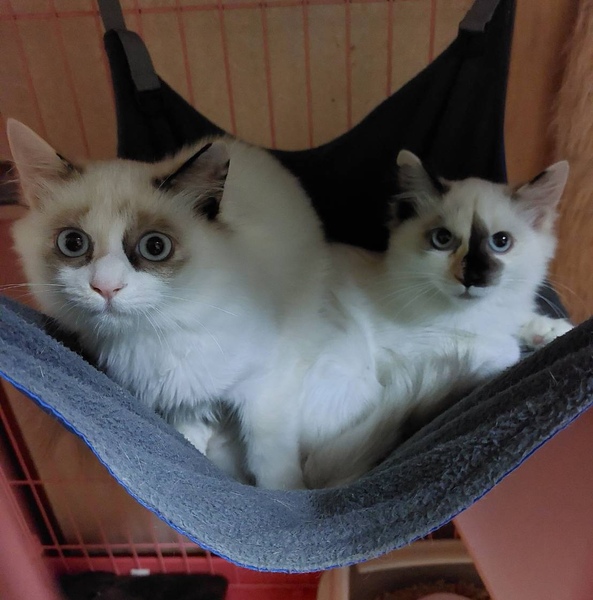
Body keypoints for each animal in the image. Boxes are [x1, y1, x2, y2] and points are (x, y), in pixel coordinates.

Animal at [8, 118, 330, 490]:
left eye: (155, 247)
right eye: (73, 243)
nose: (106, 287)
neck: (156, 333)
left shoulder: (267, 385)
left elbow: (270, 460)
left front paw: (281, 496)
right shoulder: (177, 407)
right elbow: (192, 445)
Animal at [303, 150, 572, 488]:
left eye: (500, 242)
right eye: (442, 239)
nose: (471, 278)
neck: (473, 314)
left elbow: (522, 319)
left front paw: (553, 331)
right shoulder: (408, 354)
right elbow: (500, 348)